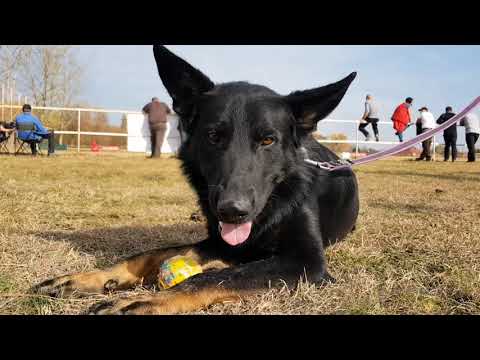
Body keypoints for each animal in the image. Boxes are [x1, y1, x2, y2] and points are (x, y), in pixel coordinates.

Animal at [31, 46, 358, 314]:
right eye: (213, 136)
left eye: (268, 140)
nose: (232, 211)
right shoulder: (218, 241)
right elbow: (151, 253)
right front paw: (91, 278)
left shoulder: (306, 262)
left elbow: (219, 277)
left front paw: (149, 300)